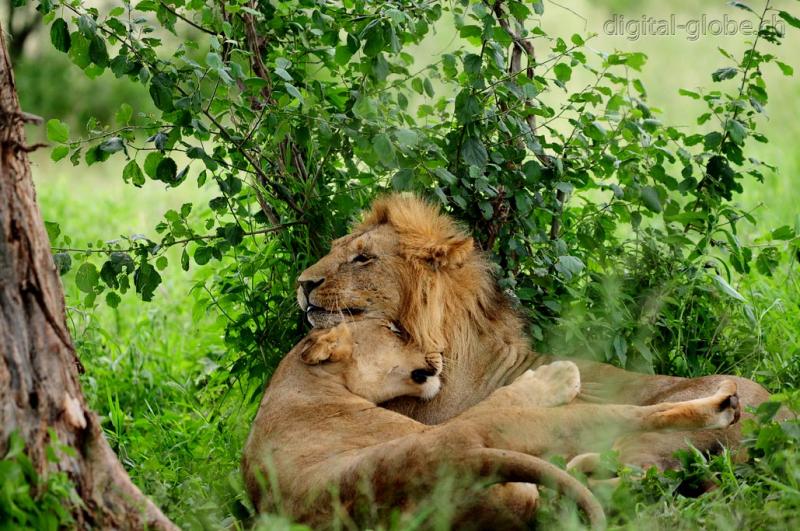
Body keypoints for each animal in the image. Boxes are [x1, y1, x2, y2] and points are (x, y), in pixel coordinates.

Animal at [244, 318, 744, 528]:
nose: (439, 350)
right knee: (632, 421)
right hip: (518, 428)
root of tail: (450, 463)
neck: (298, 381)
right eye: (396, 330)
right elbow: (510, 391)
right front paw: (556, 375)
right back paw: (721, 404)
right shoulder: (470, 416)